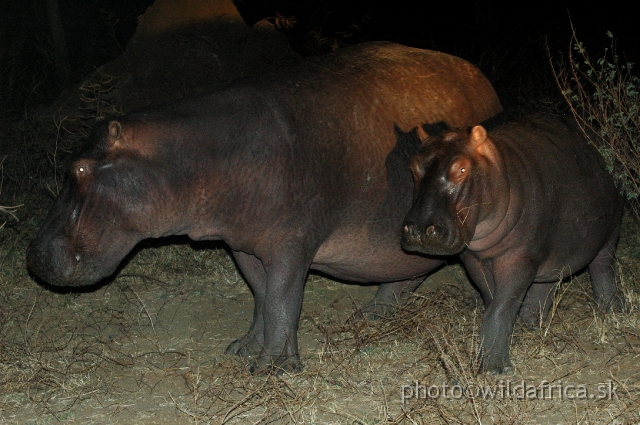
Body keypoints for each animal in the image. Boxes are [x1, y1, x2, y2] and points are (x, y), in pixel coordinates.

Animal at [26, 41, 504, 372]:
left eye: (79, 168)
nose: (33, 256)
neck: (192, 154)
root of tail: (487, 83)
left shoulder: (292, 243)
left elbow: (282, 297)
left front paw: (273, 368)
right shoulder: (242, 243)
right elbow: (260, 295)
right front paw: (241, 350)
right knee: (407, 274)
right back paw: (371, 316)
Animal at [402, 113, 624, 374]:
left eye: (462, 168)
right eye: (413, 167)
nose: (418, 230)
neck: (498, 168)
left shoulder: (519, 258)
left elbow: (502, 306)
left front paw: (495, 368)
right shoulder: (474, 260)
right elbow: (492, 299)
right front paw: (510, 336)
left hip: (609, 233)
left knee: (603, 268)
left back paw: (611, 309)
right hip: (552, 250)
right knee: (545, 285)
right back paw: (530, 324)